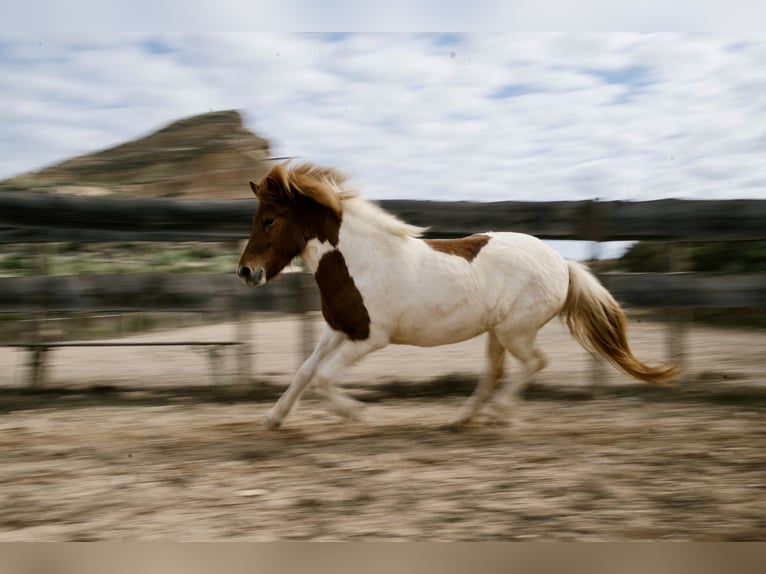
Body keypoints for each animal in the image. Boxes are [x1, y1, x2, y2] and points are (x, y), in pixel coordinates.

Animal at [237, 161, 682, 429]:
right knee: (495, 372)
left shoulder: (370, 338)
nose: (245, 271)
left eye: (269, 220)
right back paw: (460, 420)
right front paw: (273, 419)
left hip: (515, 331)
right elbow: (305, 372)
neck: (359, 260)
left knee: (536, 362)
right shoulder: (337, 329)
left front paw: (360, 413)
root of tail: (562, 262)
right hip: (498, 333)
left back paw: (499, 411)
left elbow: (324, 378)